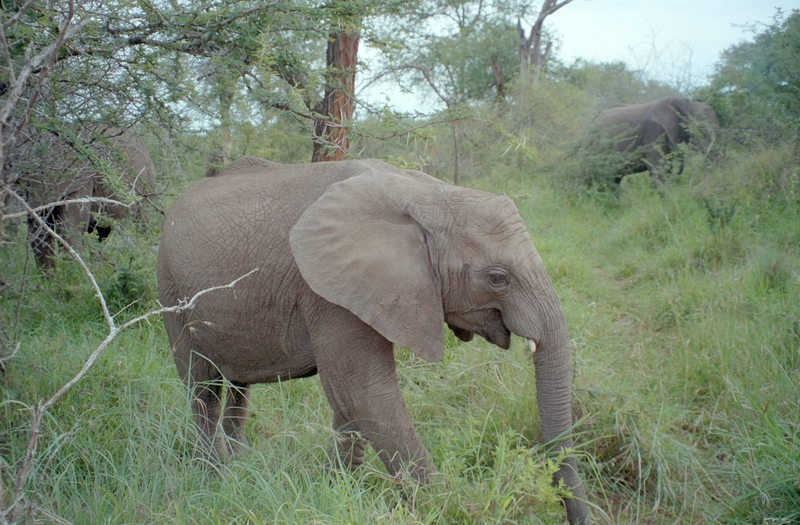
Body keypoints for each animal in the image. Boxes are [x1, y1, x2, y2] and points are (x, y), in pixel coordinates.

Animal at [19, 126, 159, 266]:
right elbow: (39, 235)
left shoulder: (83, 179)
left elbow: (70, 231)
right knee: (102, 232)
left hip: (146, 185)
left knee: (141, 224)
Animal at [158, 156, 592, 524]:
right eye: (498, 277)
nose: (572, 516)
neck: (430, 194)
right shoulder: (328, 292)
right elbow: (365, 393)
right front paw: (448, 509)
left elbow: (349, 401)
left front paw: (336, 491)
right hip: (171, 289)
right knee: (202, 389)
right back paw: (215, 477)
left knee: (238, 387)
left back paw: (239, 463)